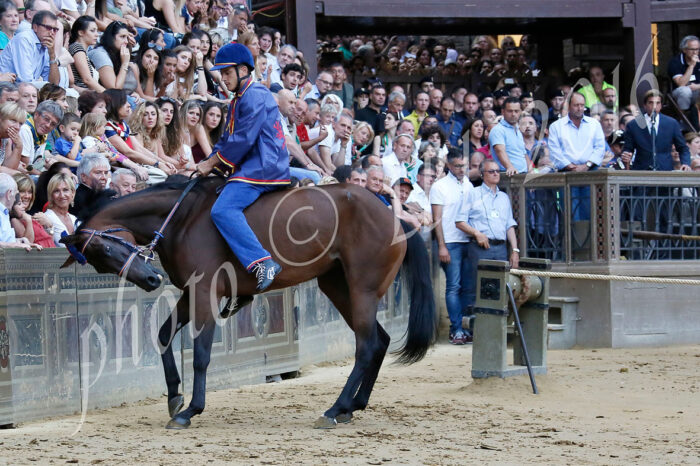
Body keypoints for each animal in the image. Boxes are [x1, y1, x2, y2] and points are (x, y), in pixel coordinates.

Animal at [60, 177, 434, 430]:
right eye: (99, 263)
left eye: (105, 248)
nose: (150, 280)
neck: (184, 218)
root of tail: (395, 218)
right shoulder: (191, 294)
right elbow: (164, 336)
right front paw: (174, 396)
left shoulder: (206, 294)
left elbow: (201, 355)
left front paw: (190, 410)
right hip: (339, 288)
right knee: (379, 341)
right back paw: (352, 406)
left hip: (362, 290)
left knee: (367, 345)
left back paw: (335, 408)